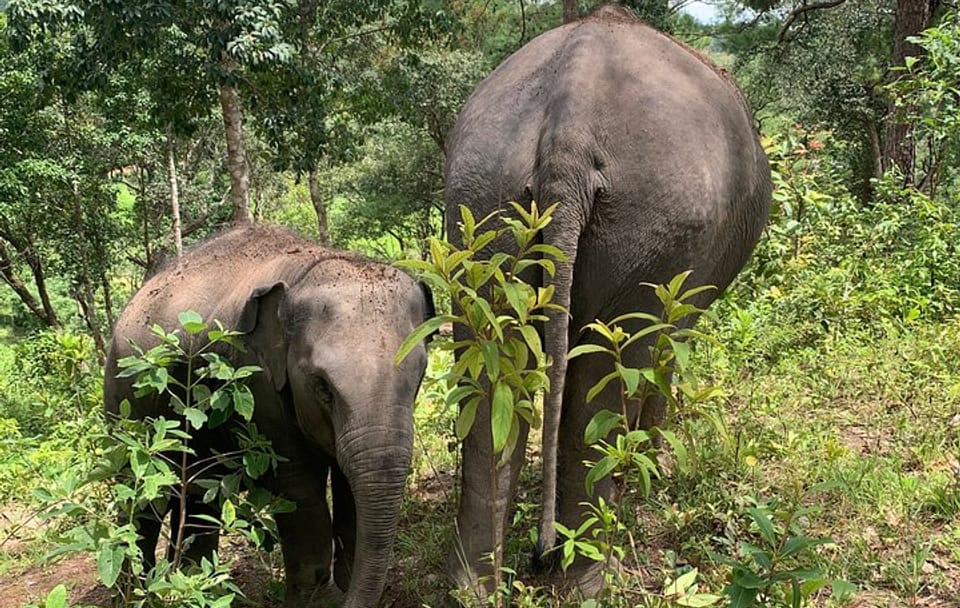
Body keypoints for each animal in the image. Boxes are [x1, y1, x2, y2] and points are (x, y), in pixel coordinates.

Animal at [104, 224, 433, 608]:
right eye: (322, 386)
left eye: (419, 375)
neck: (308, 271)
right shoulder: (256, 381)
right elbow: (298, 487)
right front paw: (314, 600)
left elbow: (350, 485)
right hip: (125, 405)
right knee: (143, 499)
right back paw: (139, 592)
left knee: (198, 498)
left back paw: (192, 582)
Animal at [442, 5, 772, 593]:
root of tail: (569, 130)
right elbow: (665, 355)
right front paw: (653, 471)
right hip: (656, 222)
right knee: (607, 370)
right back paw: (591, 579)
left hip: (479, 199)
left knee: (492, 368)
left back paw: (475, 585)